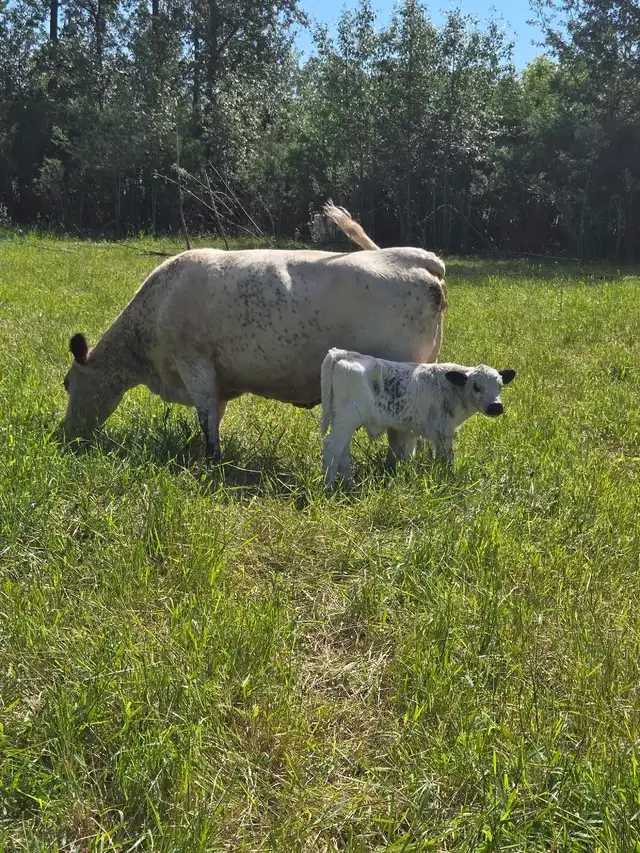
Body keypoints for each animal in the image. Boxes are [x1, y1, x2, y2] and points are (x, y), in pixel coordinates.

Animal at [63, 204, 447, 463]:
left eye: (67, 384)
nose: (65, 435)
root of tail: (414, 256)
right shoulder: (219, 380)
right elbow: (214, 415)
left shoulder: (194, 364)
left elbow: (206, 419)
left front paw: (211, 461)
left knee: (404, 434)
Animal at [320, 348, 516, 488]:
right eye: (476, 386)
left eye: (500, 385)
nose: (496, 406)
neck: (450, 388)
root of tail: (344, 354)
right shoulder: (443, 432)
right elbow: (447, 459)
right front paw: (449, 479)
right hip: (347, 419)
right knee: (332, 446)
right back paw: (328, 487)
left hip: (344, 421)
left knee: (343, 451)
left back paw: (350, 485)